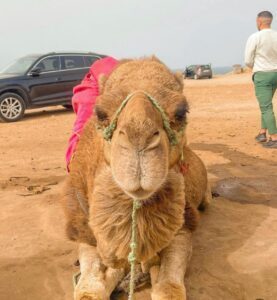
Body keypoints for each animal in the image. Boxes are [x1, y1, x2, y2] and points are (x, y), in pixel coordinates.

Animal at [61, 56, 210, 300]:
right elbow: (89, 290)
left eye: (182, 112)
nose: (139, 136)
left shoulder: (181, 227)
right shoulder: (86, 233)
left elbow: (168, 289)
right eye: (100, 113)